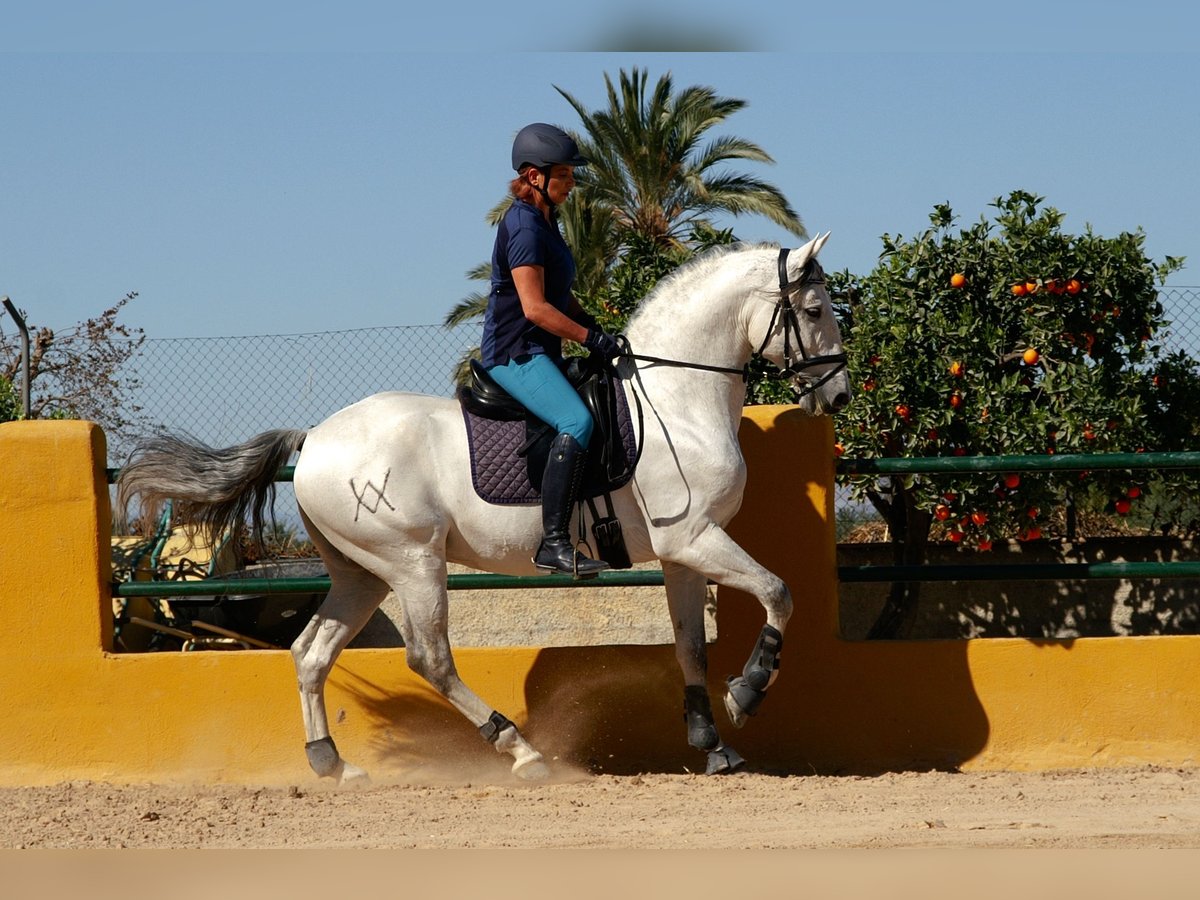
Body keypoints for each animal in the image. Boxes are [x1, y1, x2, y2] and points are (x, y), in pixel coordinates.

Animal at [117, 232, 849, 782]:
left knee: (310, 652)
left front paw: (712, 743)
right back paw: (519, 750)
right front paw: (749, 691)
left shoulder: (681, 553)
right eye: (814, 310)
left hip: (362, 573)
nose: (838, 396)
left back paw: (333, 763)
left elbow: (691, 646)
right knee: (430, 659)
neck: (677, 403)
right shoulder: (694, 538)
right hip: (412, 562)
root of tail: (317, 436)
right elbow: (779, 591)